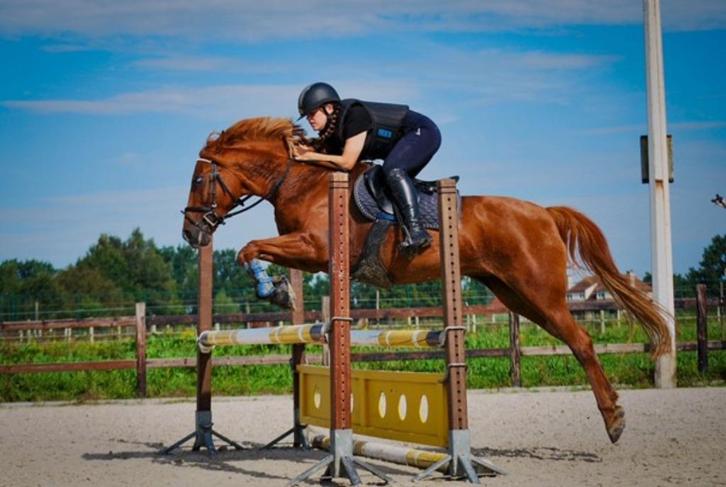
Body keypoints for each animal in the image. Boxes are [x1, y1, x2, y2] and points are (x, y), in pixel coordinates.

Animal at [182, 116, 671, 445]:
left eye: (200, 179)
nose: (191, 233)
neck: (301, 180)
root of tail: (544, 213)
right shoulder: (308, 252)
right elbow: (255, 250)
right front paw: (281, 291)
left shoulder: (315, 247)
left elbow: (249, 248)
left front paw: (273, 290)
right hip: (517, 297)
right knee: (571, 339)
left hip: (540, 293)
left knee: (583, 342)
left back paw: (614, 420)